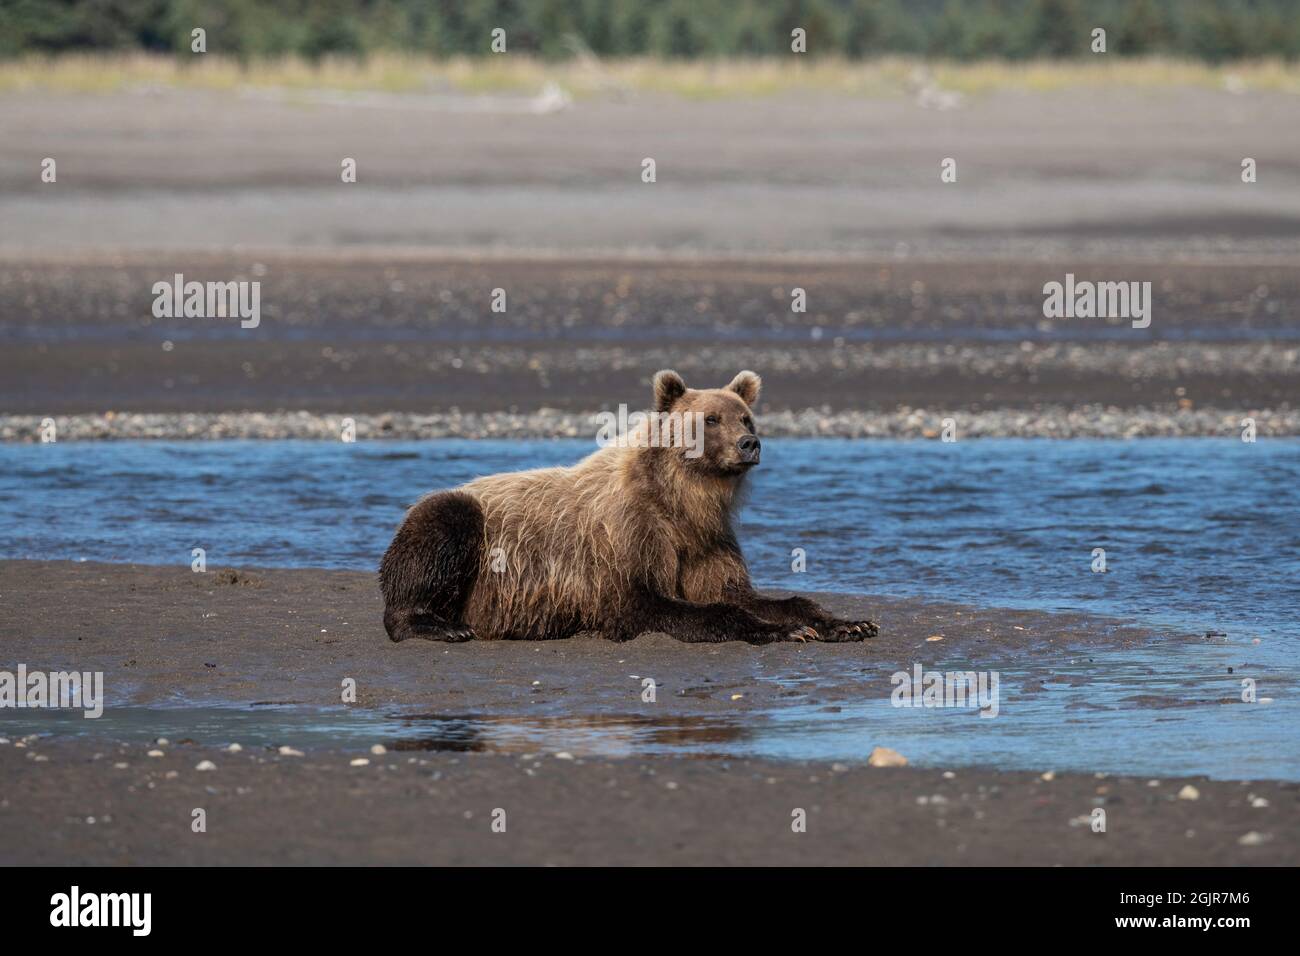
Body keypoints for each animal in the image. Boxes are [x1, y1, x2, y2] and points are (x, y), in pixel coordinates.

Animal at [379, 369, 878, 647]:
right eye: (710, 418)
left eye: (746, 416)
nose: (749, 443)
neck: (684, 499)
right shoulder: (628, 535)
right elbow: (647, 602)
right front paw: (781, 632)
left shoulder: (706, 540)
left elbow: (741, 593)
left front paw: (844, 624)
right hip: (458, 521)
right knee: (440, 526)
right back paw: (438, 625)